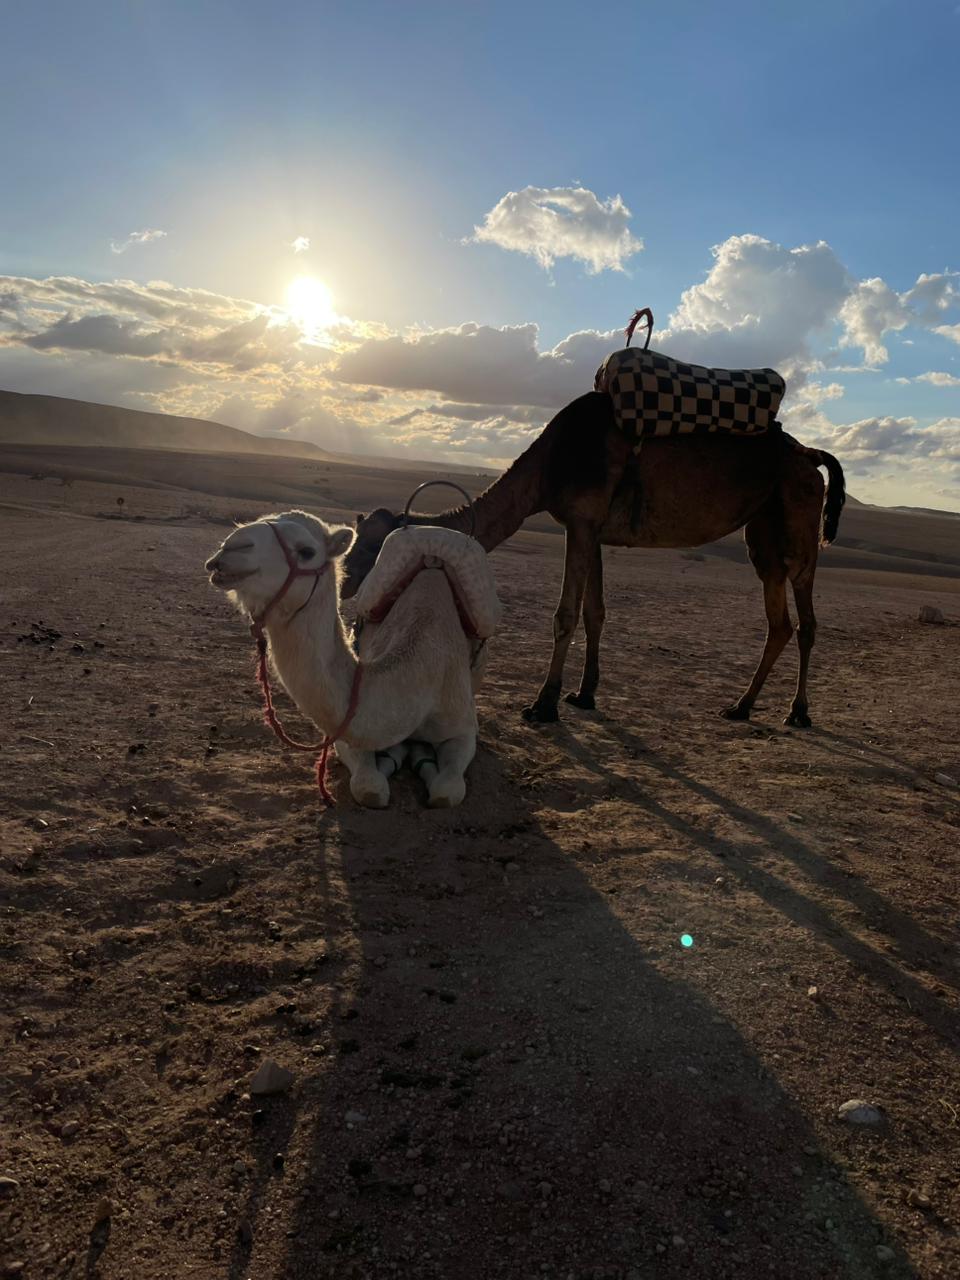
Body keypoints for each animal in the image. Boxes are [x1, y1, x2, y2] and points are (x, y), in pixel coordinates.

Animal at [205, 511, 493, 808]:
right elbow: (369, 788)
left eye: (306, 552)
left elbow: (446, 792)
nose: (230, 547)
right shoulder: (347, 735)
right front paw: (396, 757)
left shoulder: (463, 726)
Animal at [342, 391, 846, 727]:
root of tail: (810, 454)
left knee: (806, 618)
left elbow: (565, 614)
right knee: (779, 621)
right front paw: (584, 694)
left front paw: (543, 704)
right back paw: (741, 706)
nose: (346, 584)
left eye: (372, 550)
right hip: (763, 531)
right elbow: (594, 612)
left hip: (799, 518)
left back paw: (797, 712)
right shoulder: (594, 530)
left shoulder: (580, 522)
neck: (547, 467)